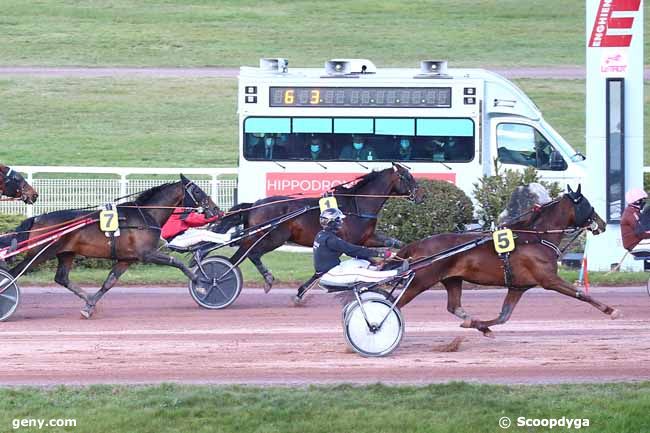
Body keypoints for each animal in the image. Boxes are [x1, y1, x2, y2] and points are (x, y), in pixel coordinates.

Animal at [8, 174, 218, 318]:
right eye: (197, 190)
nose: (216, 209)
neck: (145, 214)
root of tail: (37, 217)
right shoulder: (147, 254)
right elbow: (178, 263)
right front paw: (200, 285)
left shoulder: (127, 259)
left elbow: (109, 282)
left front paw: (89, 306)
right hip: (40, 253)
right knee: (13, 274)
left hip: (66, 252)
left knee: (61, 278)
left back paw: (87, 298)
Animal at [213, 162, 422, 290]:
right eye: (407, 176)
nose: (421, 196)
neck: (357, 205)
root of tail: (255, 205)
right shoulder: (349, 242)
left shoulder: (368, 238)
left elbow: (393, 244)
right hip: (272, 238)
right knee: (251, 255)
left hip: (256, 238)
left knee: (238, 257)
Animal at [394, 184, 612, 336]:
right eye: (586, 204)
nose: (602, 223)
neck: (536, 237)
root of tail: (419, 244)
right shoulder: (549, 280)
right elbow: (581, 294)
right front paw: (610, 310)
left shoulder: (518, 287)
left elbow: (503, 316)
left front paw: (481, 326)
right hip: (421, 280)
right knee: (396, 303)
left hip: (452, 279)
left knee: (453, 306)